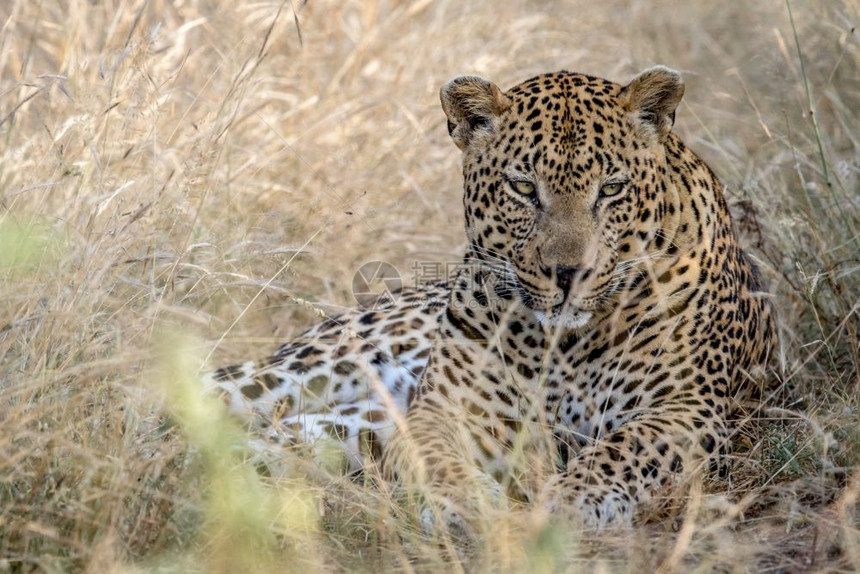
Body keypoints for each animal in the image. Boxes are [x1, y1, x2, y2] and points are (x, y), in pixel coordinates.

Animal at [203, 65, 780, 536]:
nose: (568, 273)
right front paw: (465, 504)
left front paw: (573, 501)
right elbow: (438, 459)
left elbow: (621, 451)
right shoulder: (444, 409)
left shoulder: (686, 411)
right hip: (309, 371)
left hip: (342, 429)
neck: (564, 344)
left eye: (612, 189)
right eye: (523, 188)